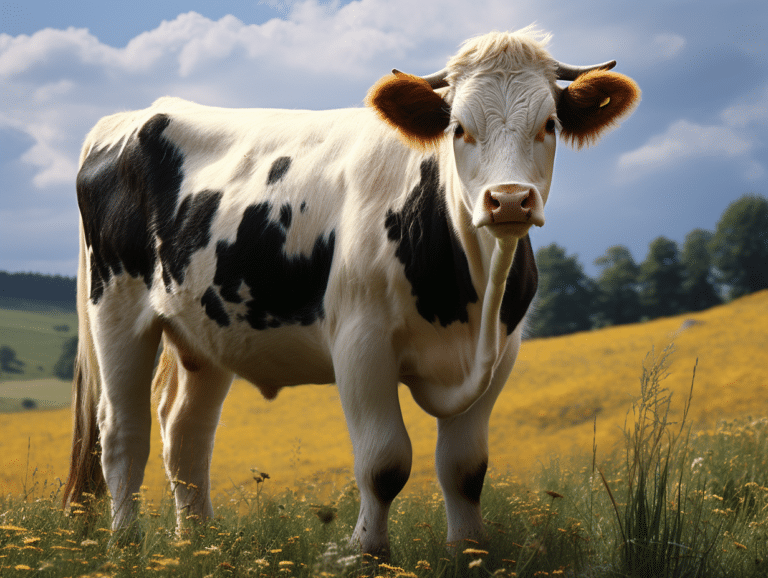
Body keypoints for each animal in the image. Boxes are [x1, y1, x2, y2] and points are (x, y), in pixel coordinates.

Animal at [64, 27, 639, 556]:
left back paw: (200, 543)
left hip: (205, 329)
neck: (467, 295)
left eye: (550, 124)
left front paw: (469, 550)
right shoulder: (361, 344)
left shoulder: (503, 351)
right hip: (116, 309)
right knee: (122, 432)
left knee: (186, 435)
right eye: (458, 127)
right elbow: (384, 463)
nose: (510, 200)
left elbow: (465, 469)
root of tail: (131, 117)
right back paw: (125, 544)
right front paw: (367, 550)